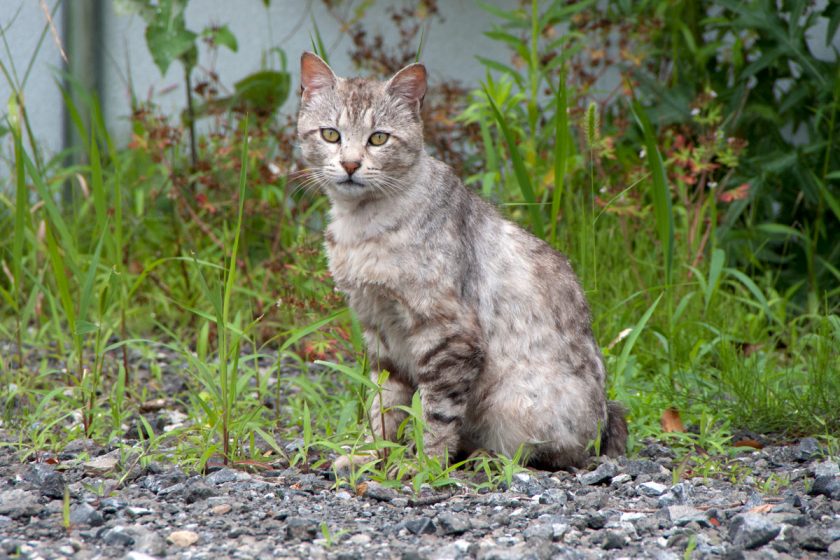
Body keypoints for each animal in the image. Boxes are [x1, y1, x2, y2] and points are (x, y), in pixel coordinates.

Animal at [294, 51, 624, 468]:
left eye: (379, 138)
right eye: (331, 135)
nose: (351, 164)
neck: (362, 226)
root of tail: (603, 425)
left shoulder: (449, 334)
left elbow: (437, 413)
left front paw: (423, 465)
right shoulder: (381, 332)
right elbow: (382, 406)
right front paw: (368, 455)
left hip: (519, 401)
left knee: (548, 453)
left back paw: (485, 458)